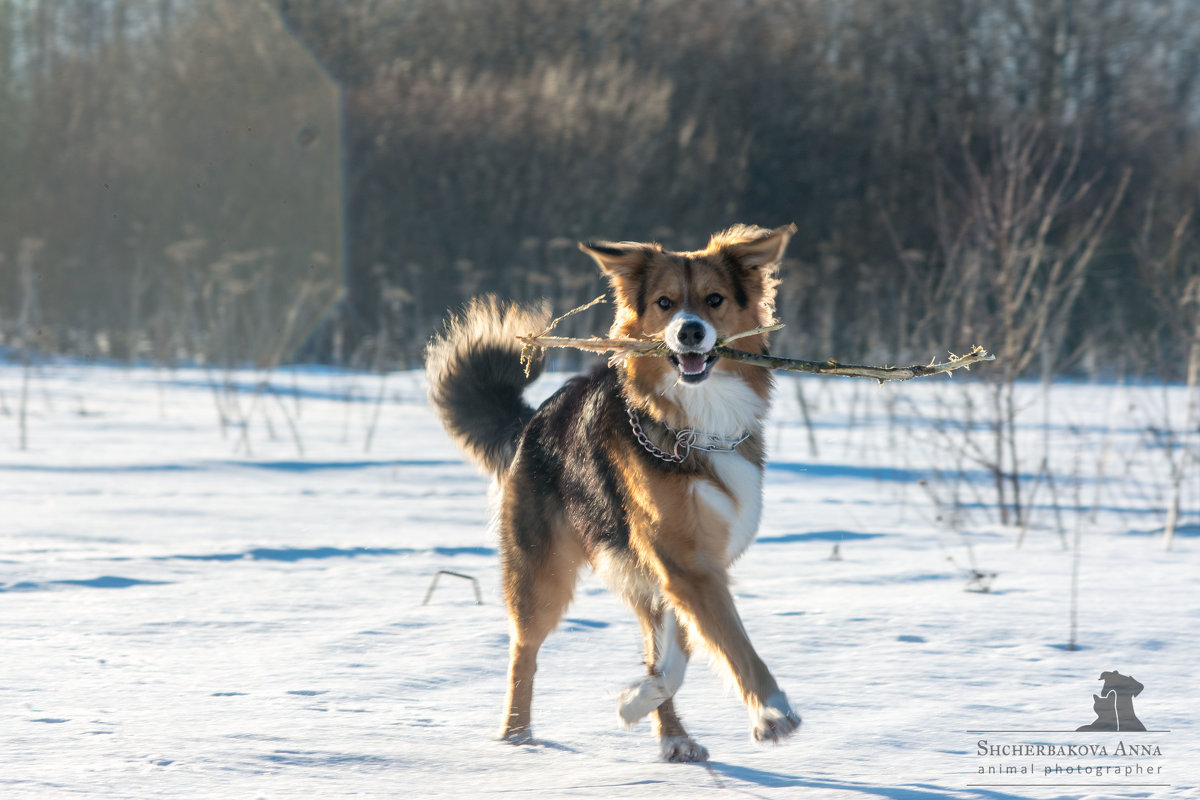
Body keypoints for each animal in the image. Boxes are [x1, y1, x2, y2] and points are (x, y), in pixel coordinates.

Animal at [422, 221, 796, 762]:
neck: (696, 424)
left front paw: (636, 701)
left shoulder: (688, 565)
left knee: (650, 645)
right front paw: (772, 712)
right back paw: (517, 739)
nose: (689, 331)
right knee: (523, 652)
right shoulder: (682, 562)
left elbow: (674, 655)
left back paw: (673, 737)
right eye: (665, 303)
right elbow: (731, 642)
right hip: (541, 575)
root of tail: (532, 421)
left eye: (715, 299)